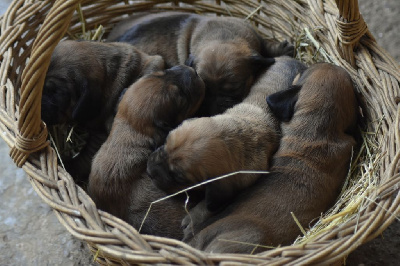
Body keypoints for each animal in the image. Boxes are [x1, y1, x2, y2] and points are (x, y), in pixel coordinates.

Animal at [107, 11, 294, 115]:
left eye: (234, 88)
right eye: (205, 89)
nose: (213, 110)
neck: (222, 36)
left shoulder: (254, 36)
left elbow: (266, 46)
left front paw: (282, 49)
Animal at [147, 56, 306, 235]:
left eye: (179, 177)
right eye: (166, 141)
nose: (148, 171)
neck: (241, 134)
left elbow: (210, 204)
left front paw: (194, 218)